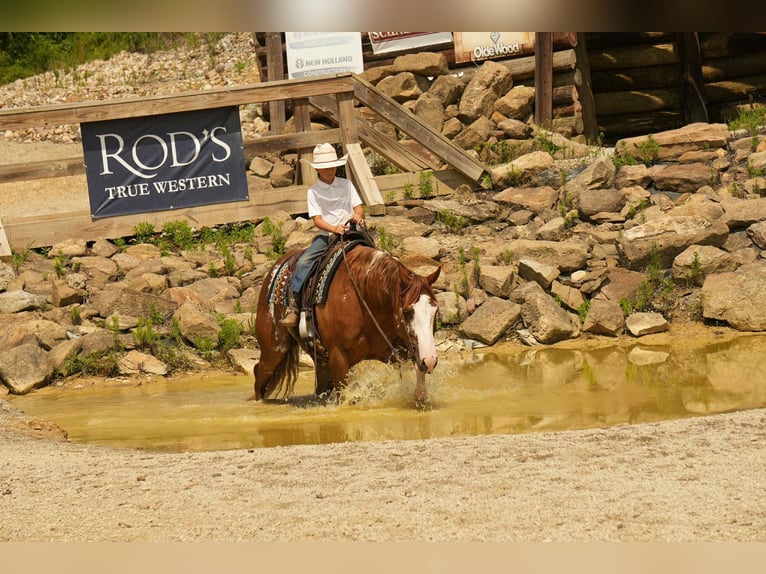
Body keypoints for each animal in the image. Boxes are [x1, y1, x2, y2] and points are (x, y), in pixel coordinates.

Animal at [252, 237, 441, 408]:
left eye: (435, 310)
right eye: (407, 311)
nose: (430, 360)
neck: (364, 297)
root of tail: (276, 267)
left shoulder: (399, 349)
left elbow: (419, 382)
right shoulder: (338, 356)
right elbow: (343, 397)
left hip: (319, 360)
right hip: (273, 351)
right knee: (259, 374)